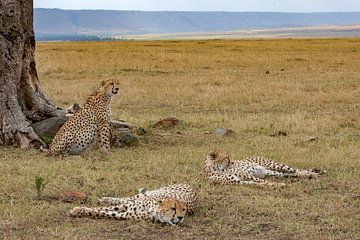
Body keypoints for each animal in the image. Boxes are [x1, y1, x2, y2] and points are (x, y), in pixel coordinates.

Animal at [69, 184, 198, 225]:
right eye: (173, 208)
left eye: (184, 210)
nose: (180, 218)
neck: (154, 209)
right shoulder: (126, 207)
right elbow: (101, 209)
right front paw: (78, 209)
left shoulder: (125, 214)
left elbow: (102, 212)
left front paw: (77, 211)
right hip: (140, 196)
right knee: (125, 199)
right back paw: (105, 199)